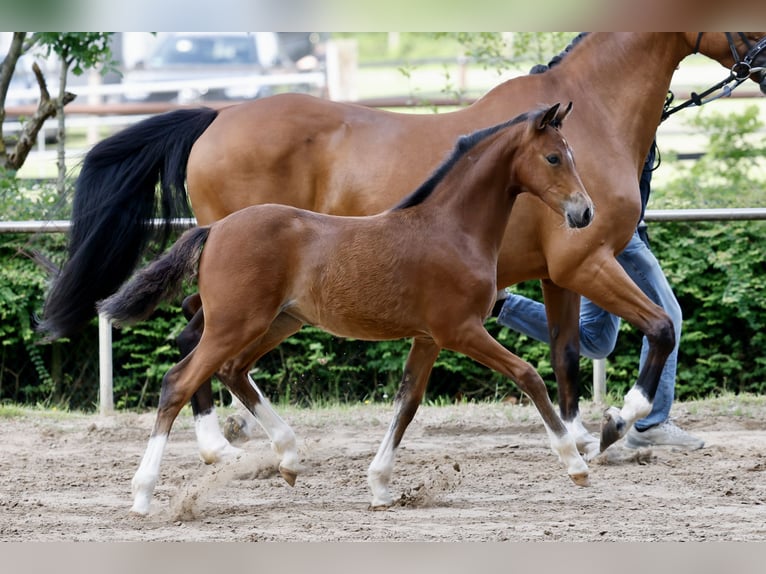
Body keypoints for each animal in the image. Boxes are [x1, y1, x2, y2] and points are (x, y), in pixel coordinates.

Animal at [40, 33, 766, 464]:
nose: (761, 60)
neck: (591, 114)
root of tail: (217, 115)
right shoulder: (583, 261)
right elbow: (660, 326)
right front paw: (620, 421)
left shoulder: (562, 273)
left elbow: (570, 351)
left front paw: (585, 433)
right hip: (246, 288)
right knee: (194, 339)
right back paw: (221, 443)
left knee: (203, 344)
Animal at [97, 104, 594, 514]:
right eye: (554, 157)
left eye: (572, 153)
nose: (585, 212)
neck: (452, 229)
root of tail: (215, 229)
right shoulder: (461, 330)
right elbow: (528, 375)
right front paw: (575, 464)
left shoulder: (428, 338)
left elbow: (407, 403)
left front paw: (379, 485)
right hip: (233, 324)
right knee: (178, 381)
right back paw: (143, 494)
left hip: (277, 322)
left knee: (233, 370)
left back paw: (289, 457)